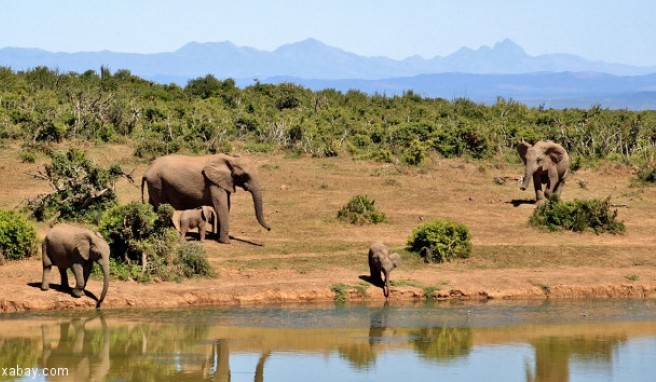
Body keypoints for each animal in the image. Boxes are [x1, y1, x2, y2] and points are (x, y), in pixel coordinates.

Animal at [140, 153, 270, 245]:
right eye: (245, 176)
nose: (269, 228)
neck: (230, 159)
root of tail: (147, 171)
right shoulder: (213, 183)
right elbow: (221, 206)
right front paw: (225, 242)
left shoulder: (223, 181)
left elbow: (226, 206)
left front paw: (217, 238)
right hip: (158, 183)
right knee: (162, 207)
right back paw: (173, 233)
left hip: (154, 185)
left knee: (153, 206)